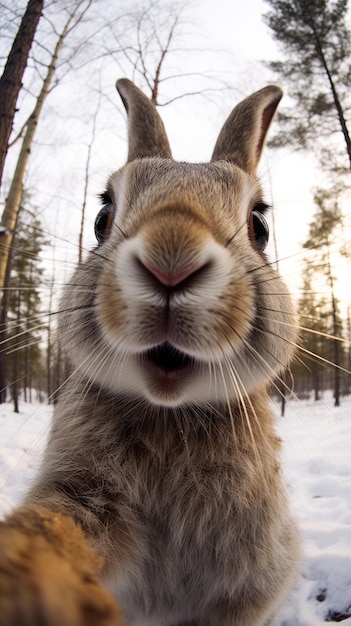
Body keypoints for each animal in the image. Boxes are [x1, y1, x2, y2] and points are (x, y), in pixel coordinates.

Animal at [0, 79, 300, 624]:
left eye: (260, 227)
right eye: (102, 218)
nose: (171, 259)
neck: (170, 413)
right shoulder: (87, 497)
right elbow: (57, 527)